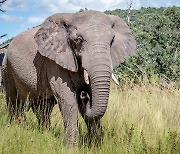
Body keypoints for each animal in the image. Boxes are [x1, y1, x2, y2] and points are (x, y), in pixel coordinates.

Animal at [2, 10, 136, 144]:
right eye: (78, 40)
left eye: (112, 40)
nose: (84, 95)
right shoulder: (55, 61)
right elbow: (67, 98)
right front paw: (72, 146)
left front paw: (96, 144)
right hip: (6, 68)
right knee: (14, 102)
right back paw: (14, 127)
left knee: (43, 108)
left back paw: (44, 132)